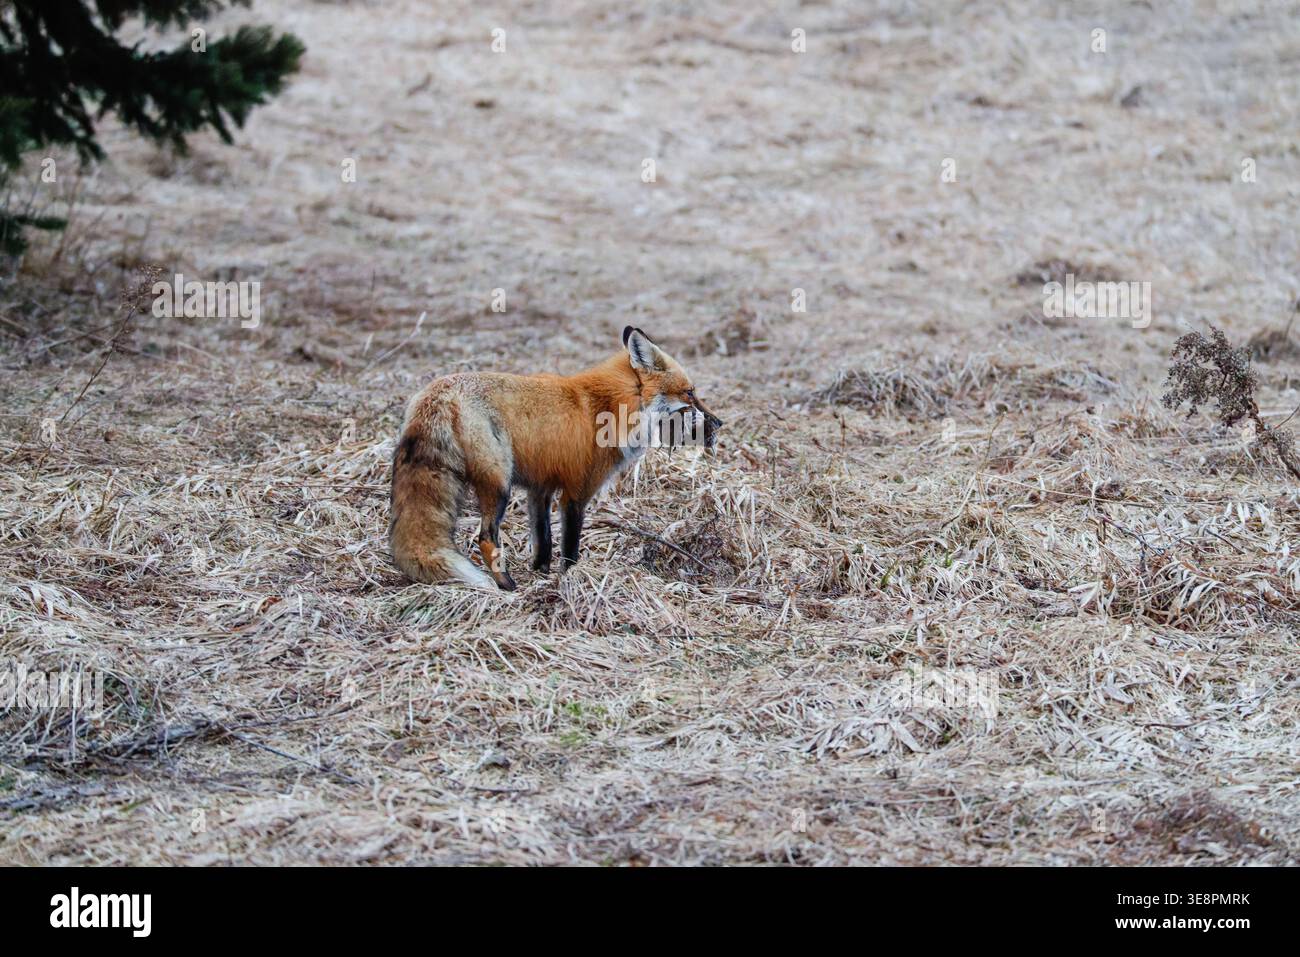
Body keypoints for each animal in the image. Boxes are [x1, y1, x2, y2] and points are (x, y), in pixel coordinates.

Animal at [389, 326, 723, 590]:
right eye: (690, 393)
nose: (719, 423)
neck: (612, 406)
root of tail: (437, 393)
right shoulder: (576, 493)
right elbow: (570, 547)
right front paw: (570, 579)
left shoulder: (540, 489)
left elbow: (544, 542)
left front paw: (542, 575)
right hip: (499, 483)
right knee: (485, 537)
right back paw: (506, 585)